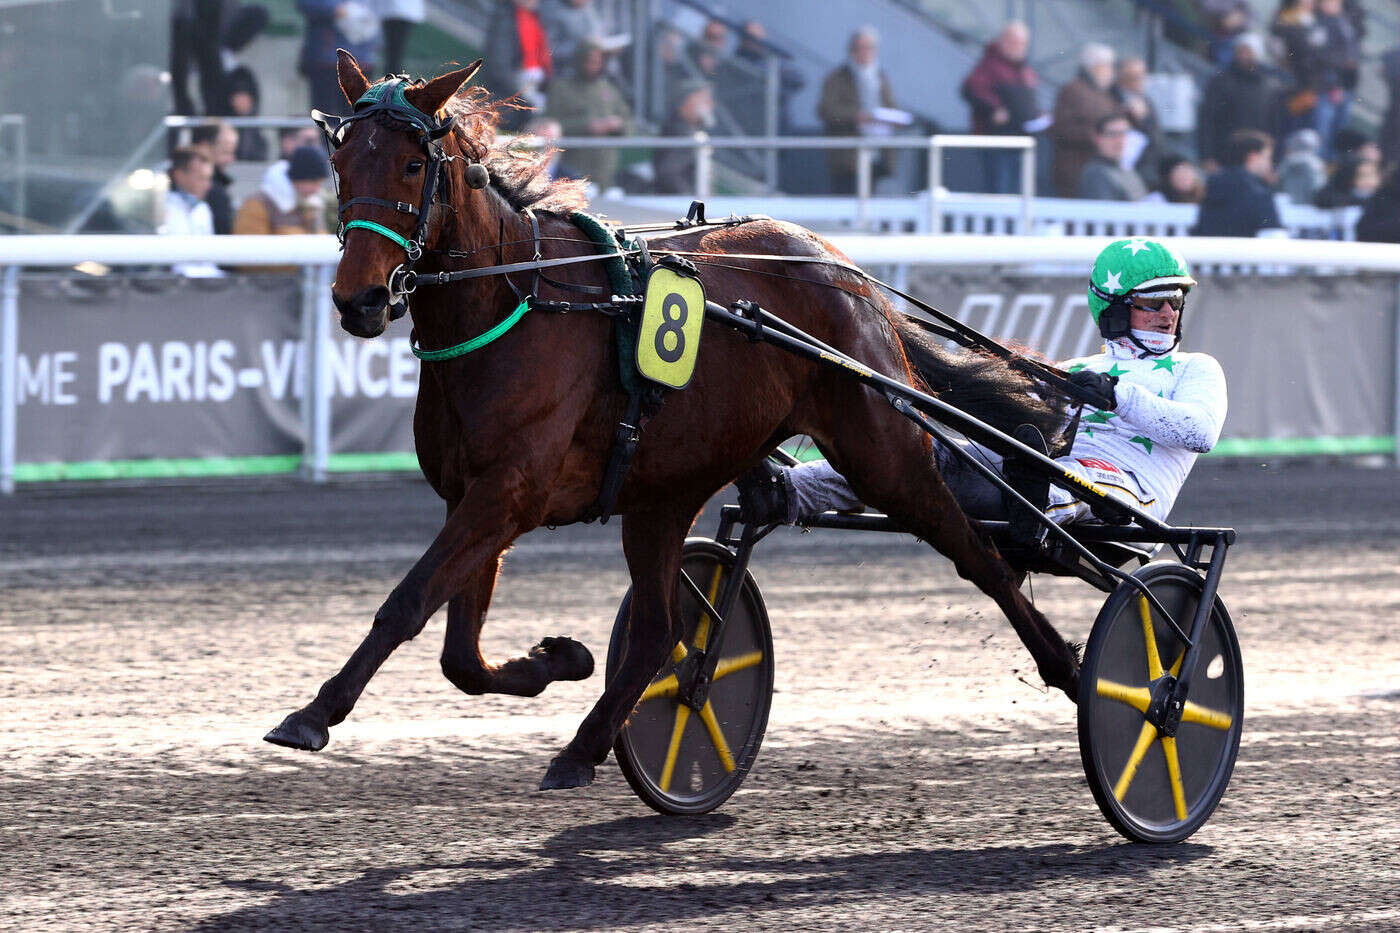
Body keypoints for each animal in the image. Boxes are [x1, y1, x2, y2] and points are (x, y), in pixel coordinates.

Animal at [270, 50, 1080, 790]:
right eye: (341, 159)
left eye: (413, 165)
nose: (359, 298)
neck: (514, 303)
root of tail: (842, 268)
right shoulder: (473, 495)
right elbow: (461, 654)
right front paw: (558, 658)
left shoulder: (508, 492)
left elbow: (408, 603)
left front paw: (312, 714)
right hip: (665, 488)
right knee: (659, 632)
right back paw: (584, 748)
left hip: (882, 450)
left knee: (980, 553)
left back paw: (1072, 667)